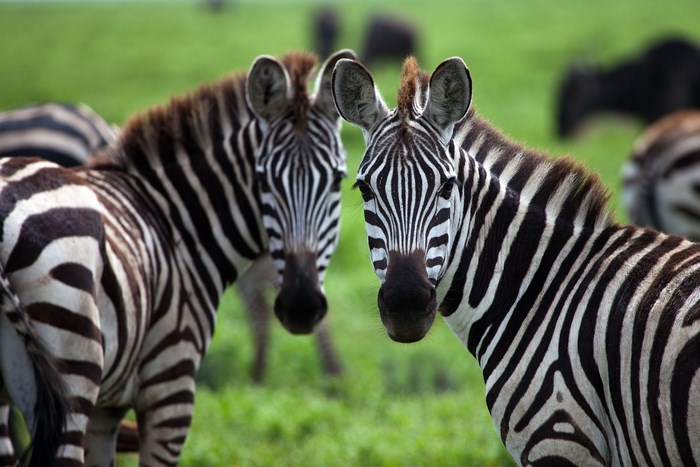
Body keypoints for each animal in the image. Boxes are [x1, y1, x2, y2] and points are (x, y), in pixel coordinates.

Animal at [0, 48, 356, 466]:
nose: (301, 307)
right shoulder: (170, 385)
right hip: (73, 370)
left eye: (336, 180)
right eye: (262, 180)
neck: (174, 222)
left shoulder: (108, 409)